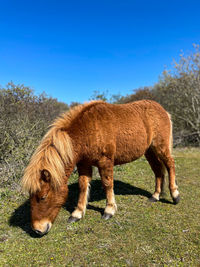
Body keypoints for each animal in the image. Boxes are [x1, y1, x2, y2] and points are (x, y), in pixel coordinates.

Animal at [21, 101, 180, 237]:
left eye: (43, 196)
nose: (38, 230)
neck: (88, 129)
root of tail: (163, 110)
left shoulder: (105, 162)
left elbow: (107, 184)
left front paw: (109, 210)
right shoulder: (84, 164)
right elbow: (83, 186)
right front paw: (77, 213)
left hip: (161, 147)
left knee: (170, 165)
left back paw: (175, 195)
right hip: (149, 151)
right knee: (158, 171)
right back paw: (155, 196)